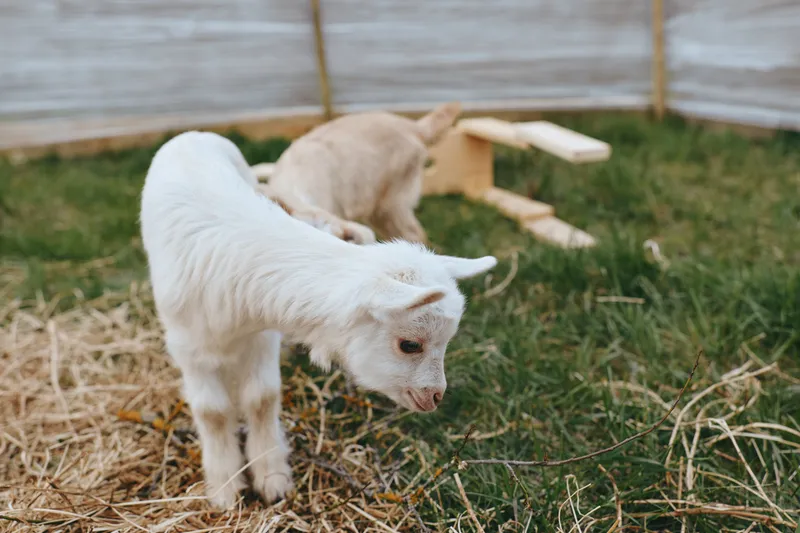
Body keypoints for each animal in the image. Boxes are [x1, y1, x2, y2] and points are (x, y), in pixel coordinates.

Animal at [139, 130, 496, 508]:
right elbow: (213, 412)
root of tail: (192, 134)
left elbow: (262, 398)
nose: (436, 397)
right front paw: (225, 488)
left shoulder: (262, 337)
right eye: (410, 344)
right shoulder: (189, 347)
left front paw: (272, 478)